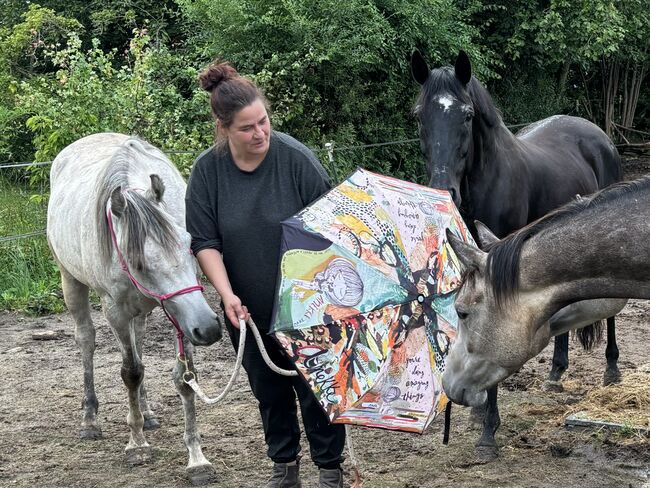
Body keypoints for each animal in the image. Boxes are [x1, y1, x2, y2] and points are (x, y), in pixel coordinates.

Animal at [46, 132, 221, 482]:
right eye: (139, 262)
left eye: (188, 242)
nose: (209, 328)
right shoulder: (115, 310)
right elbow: (131, 372)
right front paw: (136, 444)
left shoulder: (182, 310)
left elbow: (185, 377)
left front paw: (197, 458)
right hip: (71, 281)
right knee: (87, 340)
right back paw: (90, 420)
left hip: (147, 309)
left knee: (139, 341)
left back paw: (148, 412)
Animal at [410, 51, 624, 460]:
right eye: (419, 116)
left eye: (466, 115)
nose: (443, 189)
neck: (486, 180)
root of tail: (598, 135)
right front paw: (478, 412)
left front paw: (488, 432)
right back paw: (556, 372)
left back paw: (612, 370)